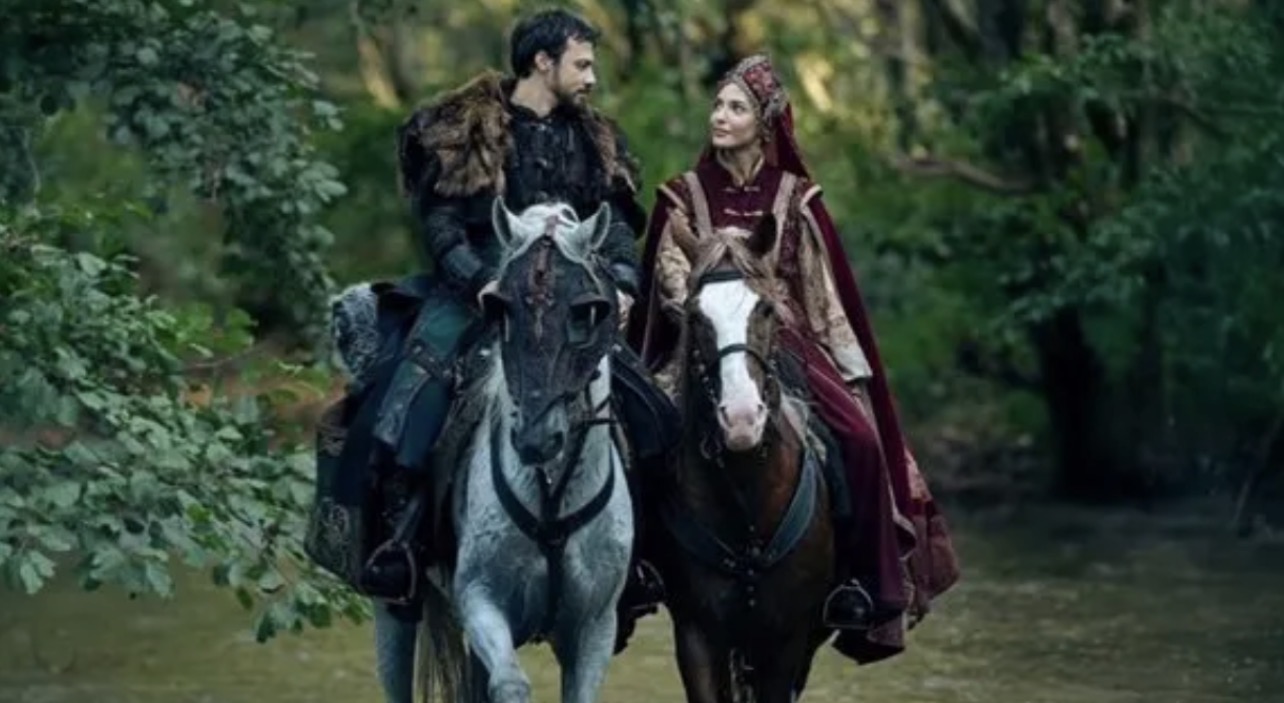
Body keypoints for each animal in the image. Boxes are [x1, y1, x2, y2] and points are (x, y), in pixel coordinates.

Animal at [415, 198, 634, 703]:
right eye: (502, 310)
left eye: (584, 314)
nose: (536, 440)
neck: (552, 497)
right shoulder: (479, 599)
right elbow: (511, 684)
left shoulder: (595, 628)